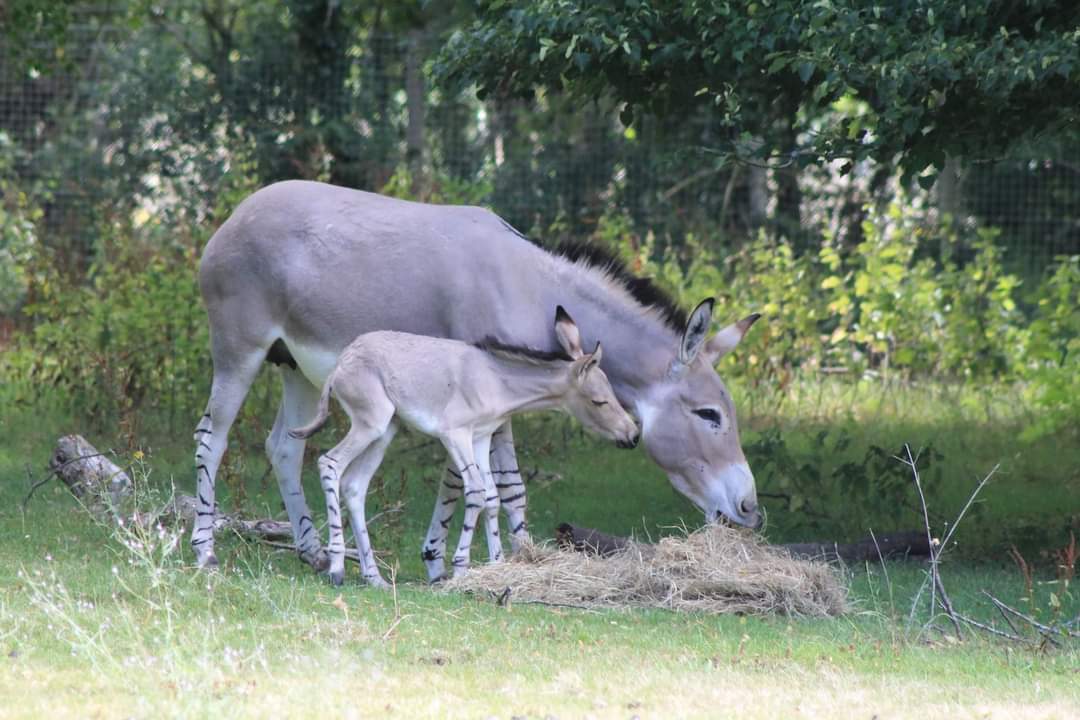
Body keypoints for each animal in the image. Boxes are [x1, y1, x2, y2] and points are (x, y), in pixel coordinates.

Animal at [289, 308, 639, 587]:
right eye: (599, 401)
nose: (633, 435)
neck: (495, 380)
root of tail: (342, 362)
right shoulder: (455, 435)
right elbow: (475, 491)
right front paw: (460, 568)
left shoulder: (481, 437)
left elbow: (492, 497)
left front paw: (497, 563)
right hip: (369, 424)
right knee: (330, 463)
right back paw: (336, 569)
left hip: (384, 431)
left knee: (354, 486)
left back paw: (374, 577)